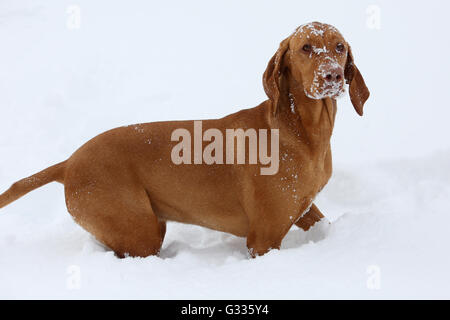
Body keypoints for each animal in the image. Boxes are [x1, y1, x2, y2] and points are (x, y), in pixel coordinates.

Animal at [0, 21, 370, 258]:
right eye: (306, 47)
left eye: (339, 47)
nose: (333, 76)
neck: (302, 131)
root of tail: (68, 163)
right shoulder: (263, 238)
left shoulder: (303, 208)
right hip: (140, 230)